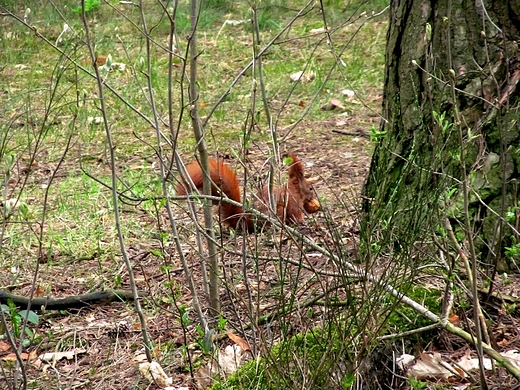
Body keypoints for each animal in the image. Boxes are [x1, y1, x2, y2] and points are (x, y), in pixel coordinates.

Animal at [177, 153, 318, 232]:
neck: (294, 190)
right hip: (277, 212)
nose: (313, 198)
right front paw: (302, 222)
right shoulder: (293, 200)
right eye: (310, 188)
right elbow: (295, 213)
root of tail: (248, 221)